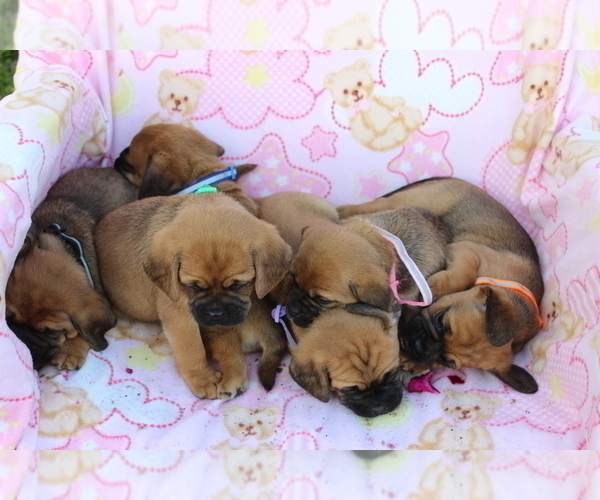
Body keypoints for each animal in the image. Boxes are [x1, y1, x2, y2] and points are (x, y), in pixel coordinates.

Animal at [95, 191, 292, 398]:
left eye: (240, 284)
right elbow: (191, 348)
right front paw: (203, 378)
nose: (216, 313)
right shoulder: (178, 313)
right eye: (193, 286)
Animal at [338, 178, 544, 392]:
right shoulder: (467, 251)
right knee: (366, 206)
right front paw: (436, 287)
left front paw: (414, 362)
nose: (418, 345)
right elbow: (466, 273)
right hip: (414, 200)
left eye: (445, 361)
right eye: (440, 321)